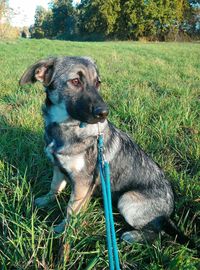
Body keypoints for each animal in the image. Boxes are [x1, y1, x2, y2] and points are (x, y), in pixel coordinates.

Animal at [19, 56, 191, 245]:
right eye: (75, 81)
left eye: (97, 83)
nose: (104, 113)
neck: (66, 128)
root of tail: (168, 214)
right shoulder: (58, 167)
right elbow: (54, 187)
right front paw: (45, 200)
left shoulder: (82, 183)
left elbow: (71, 210)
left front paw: (61, 231)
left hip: (127, 200)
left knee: (156, 233)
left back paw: (132, 236)